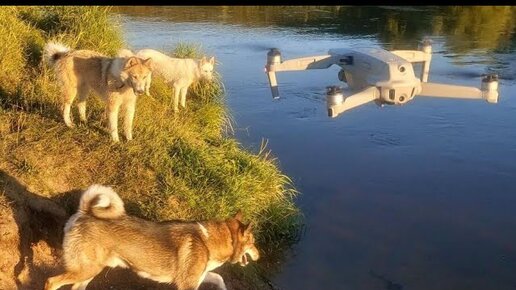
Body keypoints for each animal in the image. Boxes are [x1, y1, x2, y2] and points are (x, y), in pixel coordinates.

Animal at [44, 185, 260, 288]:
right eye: (253, 242)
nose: (259, 256)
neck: (208, 241)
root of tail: (84, 212)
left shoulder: (197, 278)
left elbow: (219, 279)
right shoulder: (187, 285)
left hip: (90, 272)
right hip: (86, 270)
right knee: (51, 282)